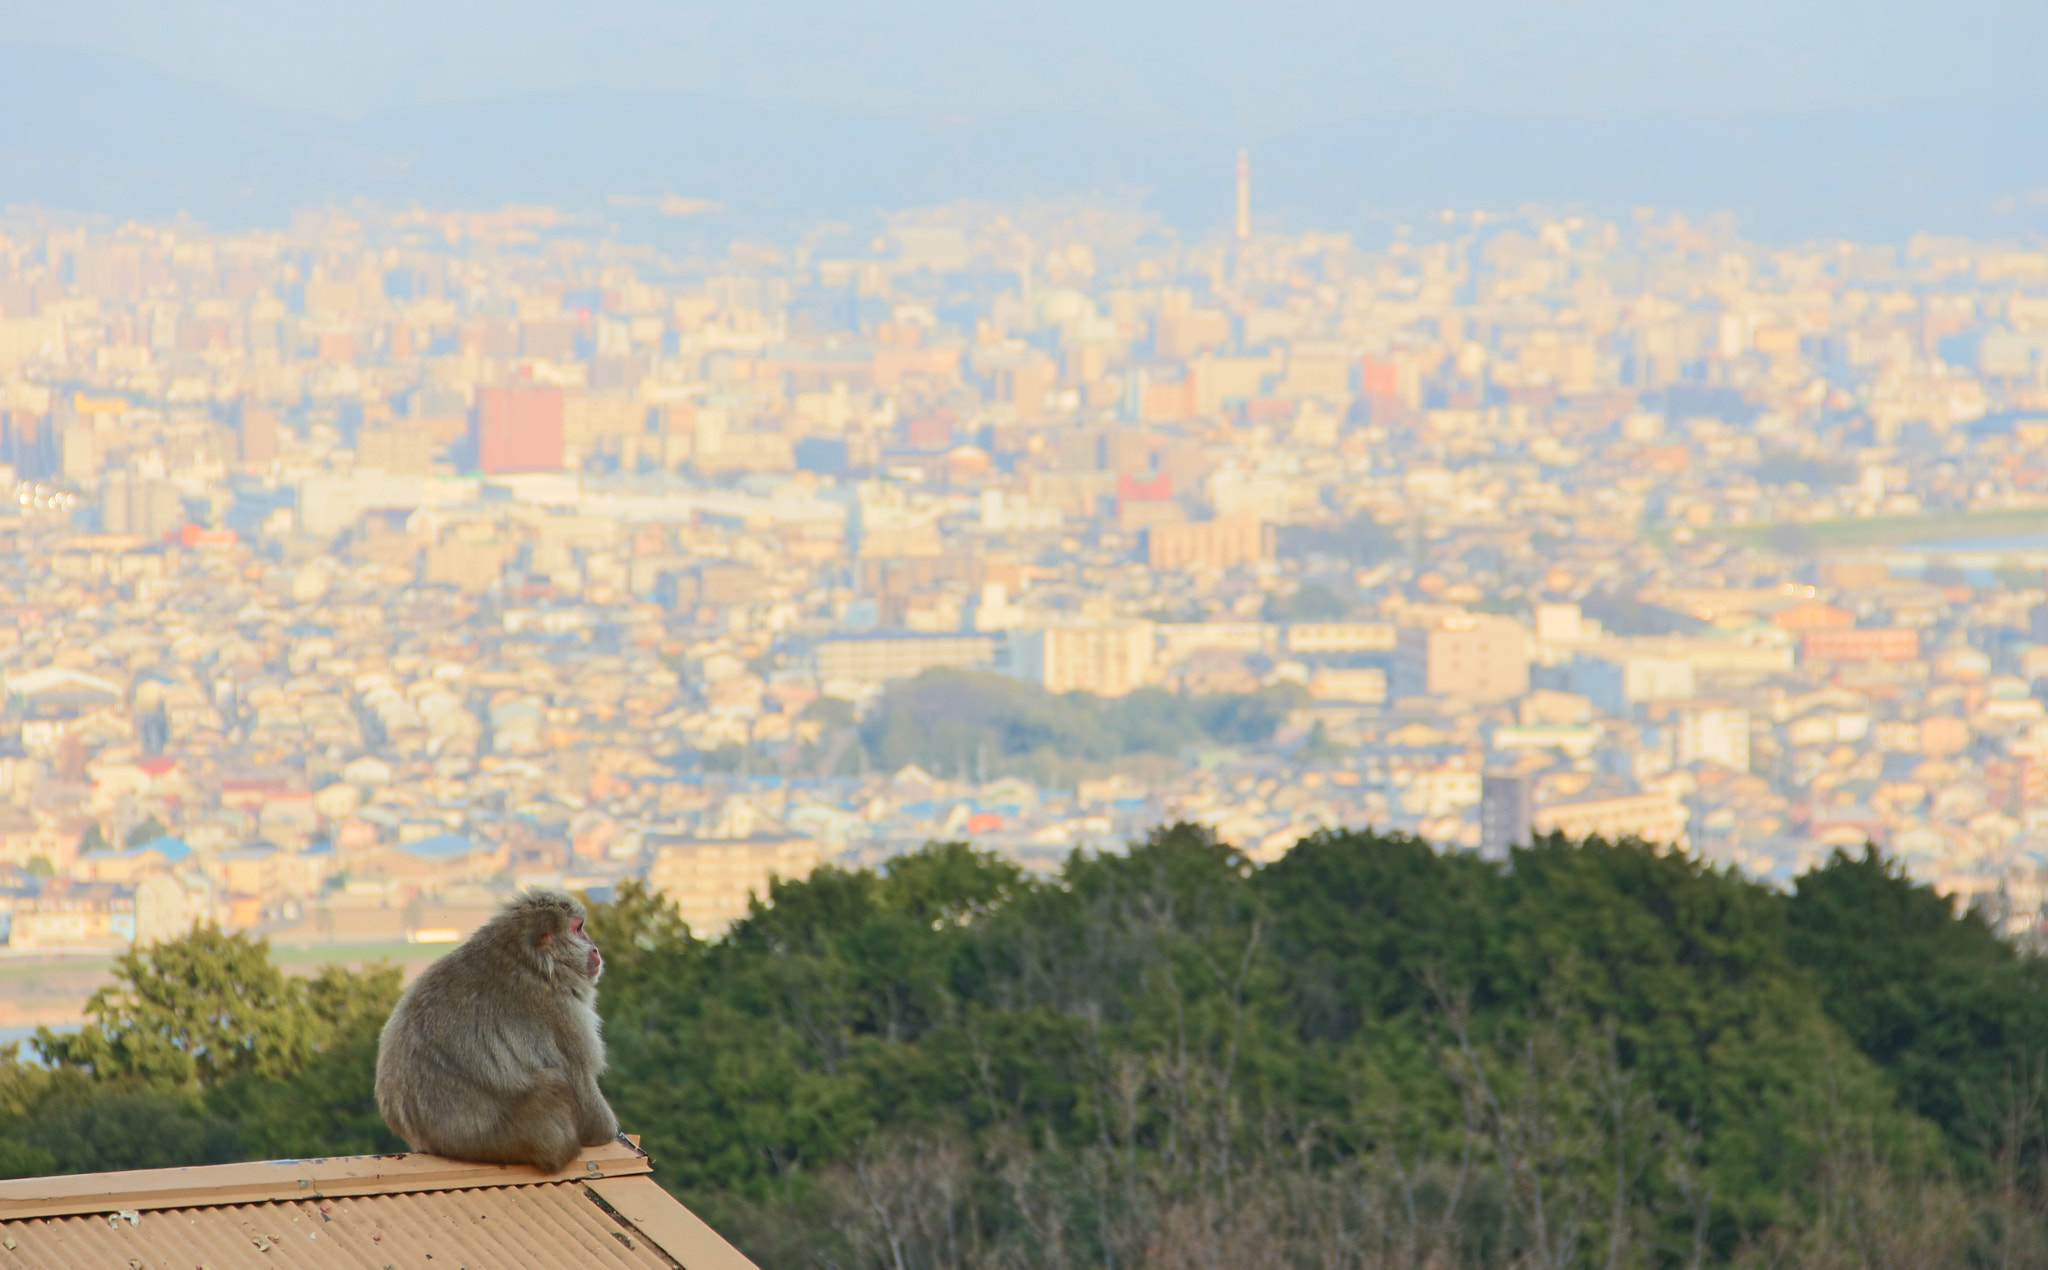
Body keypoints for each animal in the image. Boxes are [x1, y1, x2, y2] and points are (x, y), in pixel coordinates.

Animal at [375, 888, 619, 1173]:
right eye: (578, 928)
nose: (595, 948)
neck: (531, 962)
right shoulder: (561, 1013)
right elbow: (586, 1097)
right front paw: (606, 1131)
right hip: (517, 1135)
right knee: (555, 1082)